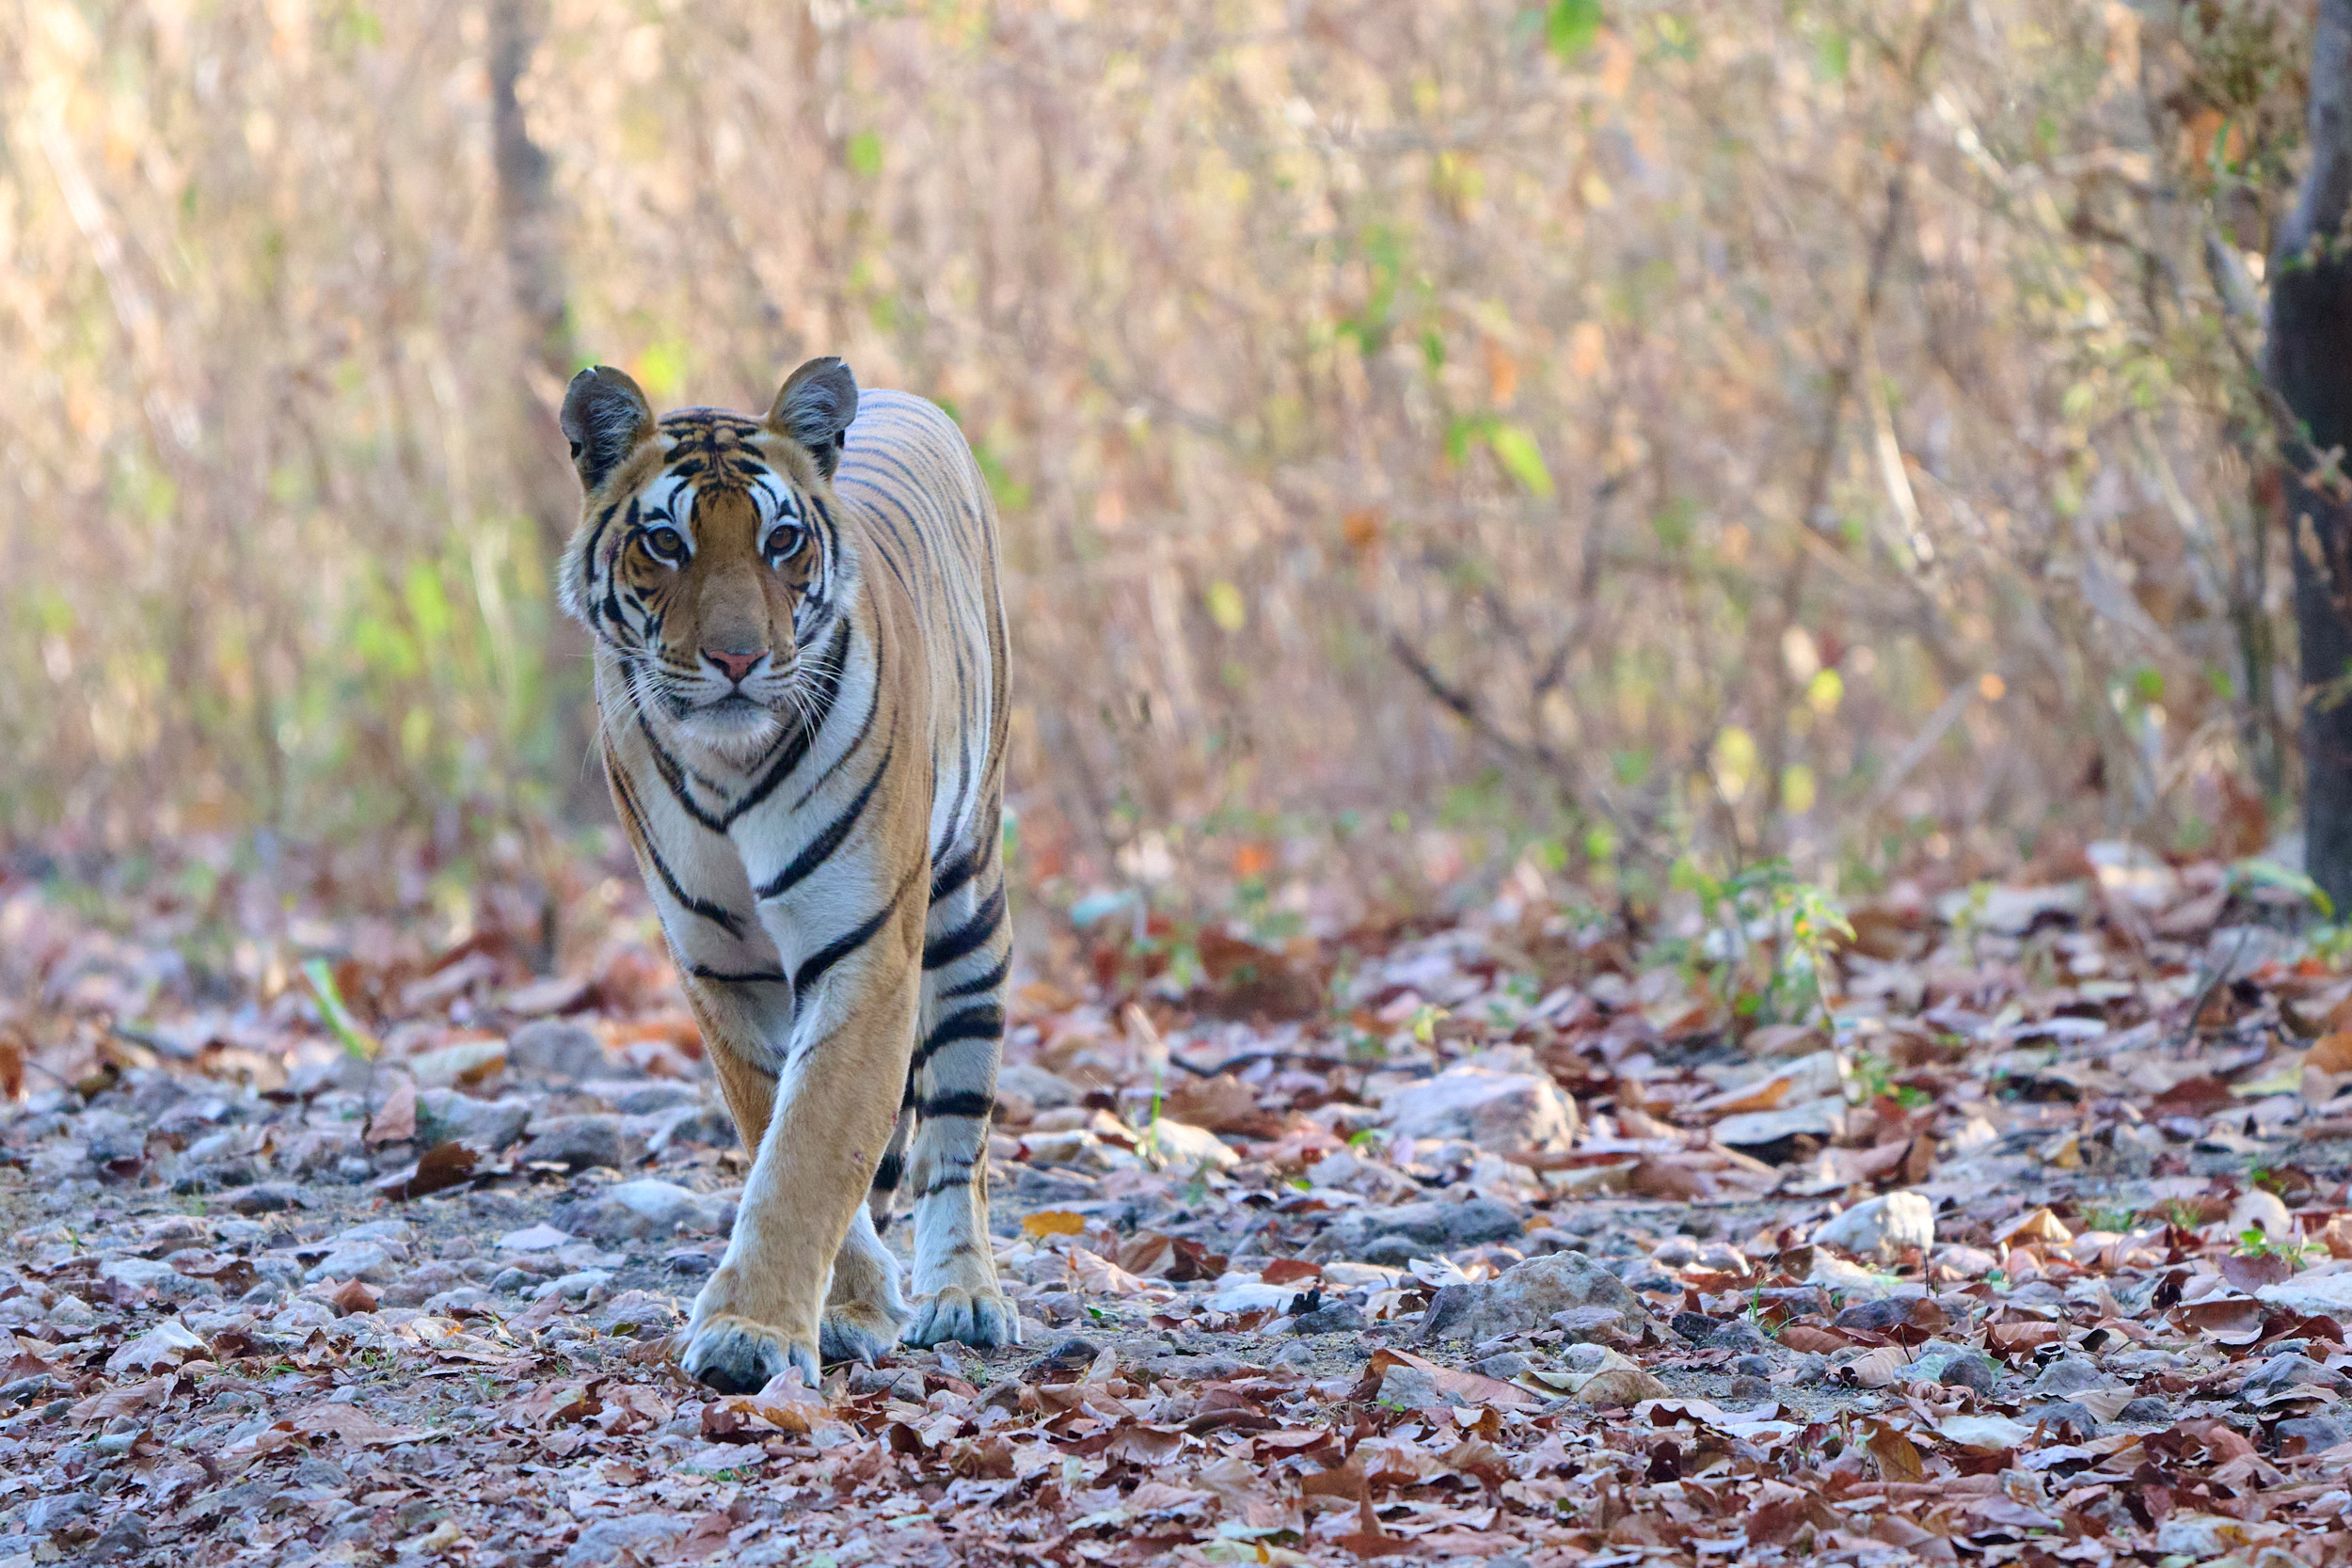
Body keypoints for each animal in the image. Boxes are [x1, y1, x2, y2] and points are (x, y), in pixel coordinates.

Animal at [556, 355, 1017, 1393]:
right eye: (666, 542)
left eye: (780, 541)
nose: (737, 657)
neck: (727, 766)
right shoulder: (723, 969)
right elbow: (780, 1123)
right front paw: (841, 1303)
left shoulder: (865, 953)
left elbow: (809, 1149)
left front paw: (748, 1332)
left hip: (969, 907)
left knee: (954, 1134)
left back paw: (961, 1294)